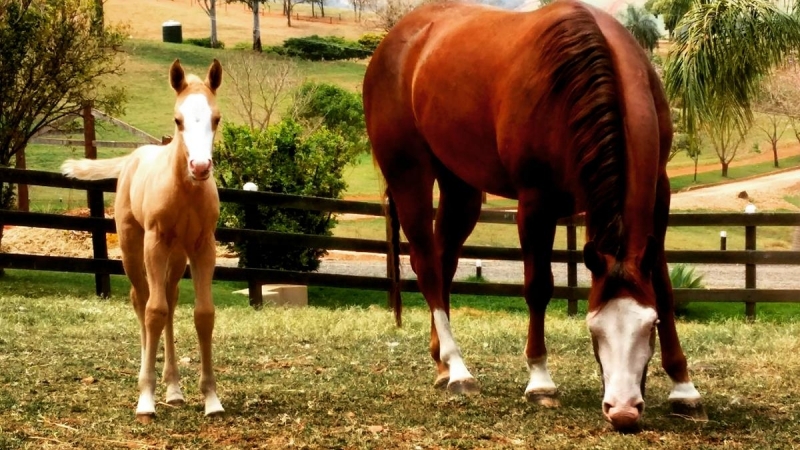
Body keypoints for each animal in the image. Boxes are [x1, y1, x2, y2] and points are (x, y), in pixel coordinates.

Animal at [61, 59, 225, 422]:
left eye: (216, 118)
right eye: (178, 120)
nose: (200, 167)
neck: (185, 190)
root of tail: (132, 158)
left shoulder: (203, 246)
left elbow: (203, 314)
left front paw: (211, 398)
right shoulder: (155, 242)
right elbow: (153, 310)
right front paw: (146, 398)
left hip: (176, 256)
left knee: (171, 302)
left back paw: (174, 389)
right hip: (132, 247)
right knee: (142, 299)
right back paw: (147, 379)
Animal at [364, 0, 708, 428]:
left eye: (650, 326)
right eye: (595, 330)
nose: (624, 412)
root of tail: (396, 39)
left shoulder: (659, 194)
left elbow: (663, 286)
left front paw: (684, 388)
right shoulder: (534, 204)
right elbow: (538, 287)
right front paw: (540, 381)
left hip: (460, 186)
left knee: (444, 262)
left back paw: (441, 364)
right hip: (408, 173)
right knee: (427, 264)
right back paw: (458, 370)